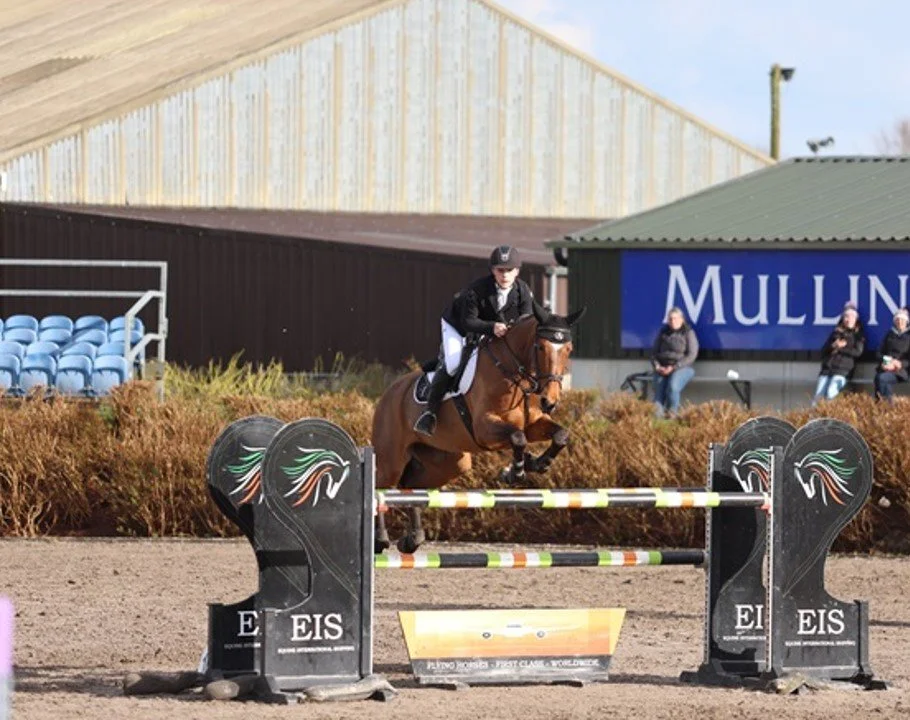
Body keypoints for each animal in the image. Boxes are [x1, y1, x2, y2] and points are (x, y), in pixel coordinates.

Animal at [371, 306, 586, 553]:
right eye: (540, 347)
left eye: (568, 349)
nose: (549, 402)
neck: (514, 373)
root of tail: (390, 392)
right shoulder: (485, 428)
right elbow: (518, 437)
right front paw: (516, 471)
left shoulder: (533, 423)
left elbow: (560, 435)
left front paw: (537, 463)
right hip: (391, 460)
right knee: (381, 486)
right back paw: (380, 540)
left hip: (449, 463)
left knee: (411, 487)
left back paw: (412, 539)